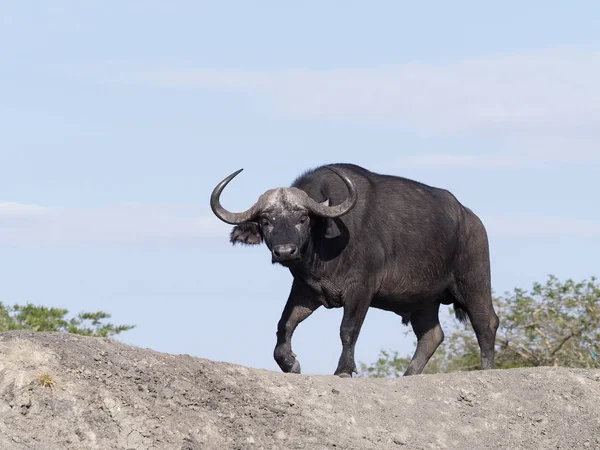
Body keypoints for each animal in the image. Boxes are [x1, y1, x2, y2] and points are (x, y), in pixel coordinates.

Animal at [209, 164, 500, 376]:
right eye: (266, 221)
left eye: (302, 219)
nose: (285, 251)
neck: (325, 240)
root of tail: (471, 219)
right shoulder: (306, 290)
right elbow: (284, 325)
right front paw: (290, 363)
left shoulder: (360, 290)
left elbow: (348, 329)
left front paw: (344, 369)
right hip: (424, 300)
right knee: (432, 336)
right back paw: (409, 374)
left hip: (473, 282)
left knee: (485, 322)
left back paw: (486, 369)